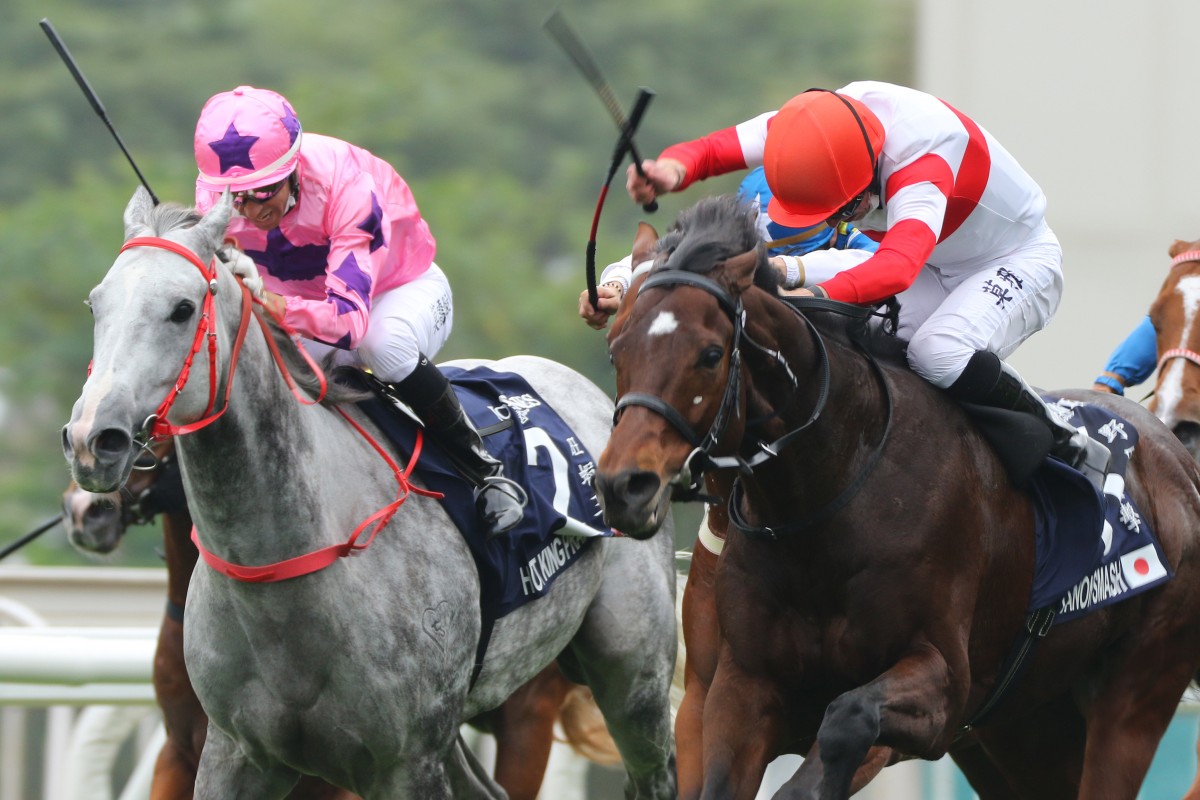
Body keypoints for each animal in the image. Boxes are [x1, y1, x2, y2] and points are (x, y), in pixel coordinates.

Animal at [600, 194, 1200, 800]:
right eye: (616, 347)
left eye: (709, 353)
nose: (624, 484)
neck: (828, 498)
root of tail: (1178, 462)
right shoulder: (737, 688)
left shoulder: (941, 689)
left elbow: (843, 725)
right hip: (1024, 727)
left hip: (1135, 692)